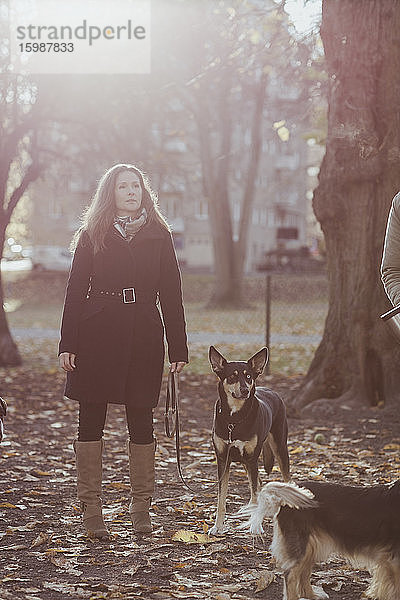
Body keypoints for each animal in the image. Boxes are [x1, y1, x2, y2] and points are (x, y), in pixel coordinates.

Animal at [208, 344, 290, 536]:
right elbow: (221, 498)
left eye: (248, 376)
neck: (234, 419)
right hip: (246, 461)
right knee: (258, 484)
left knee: (285, 479)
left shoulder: (252, 459)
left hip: (279, 447)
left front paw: (255, 526)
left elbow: (254, 494)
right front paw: (218, 526)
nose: (245, 390)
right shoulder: (223, 459)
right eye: (232, 376)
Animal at [241, 480, 400, 600]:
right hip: (301, 544)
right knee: (290, 574)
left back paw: (311, 596)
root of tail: (283, 501)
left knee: (303, 573)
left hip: (311, 546)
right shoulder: (394, 559)